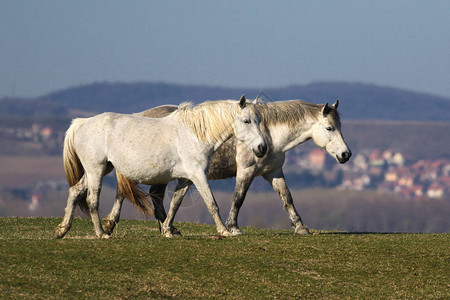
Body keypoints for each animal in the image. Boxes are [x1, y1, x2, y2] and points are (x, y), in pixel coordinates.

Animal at [53, 96, 266, 239]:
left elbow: (175, 203)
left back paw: (62, 230)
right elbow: (211, 203)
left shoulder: (186, 179)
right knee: (91, 200)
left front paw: (167, 230)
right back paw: (101, 233)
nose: (262, 147)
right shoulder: (198, 175)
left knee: (75, 192)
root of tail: (82, 123)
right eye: (246, 120)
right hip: (96, 170)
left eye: (259, 120)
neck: (194, 134)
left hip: (100, 169)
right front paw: (224, 231)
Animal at [103, 98, 352, 237]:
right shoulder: (246, 171)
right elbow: (238, 198)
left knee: (155, 197)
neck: (270, 135)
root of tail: (138, 115)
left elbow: (287, 198)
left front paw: (300, 227)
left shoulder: (273, 172)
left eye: (339, 126)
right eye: (329, 128)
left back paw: (168, 228)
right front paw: (233, 227)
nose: (346, 155)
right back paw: (112, 223)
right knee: (123, 193)